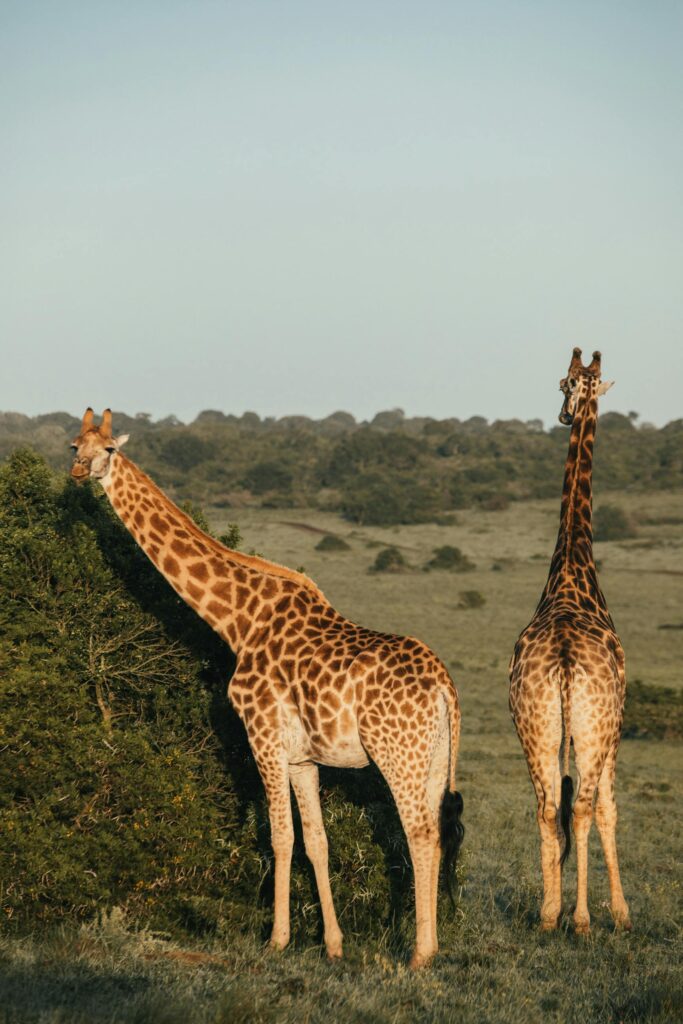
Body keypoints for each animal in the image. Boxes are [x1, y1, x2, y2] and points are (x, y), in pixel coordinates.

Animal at [69, 405, 464, 966]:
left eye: (107, 449)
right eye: (72, 445)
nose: (79, 472)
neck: (239, 621)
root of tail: (444, 688)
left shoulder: (263, 736)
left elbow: (278, 838)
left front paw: (277, 939)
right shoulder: (302, 758)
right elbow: (316, 841)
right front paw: (332, 945)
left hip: (397, 753)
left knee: (420, 834)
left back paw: (418, 955)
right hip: (433, 758)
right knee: (434, 831)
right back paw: (426, 947)